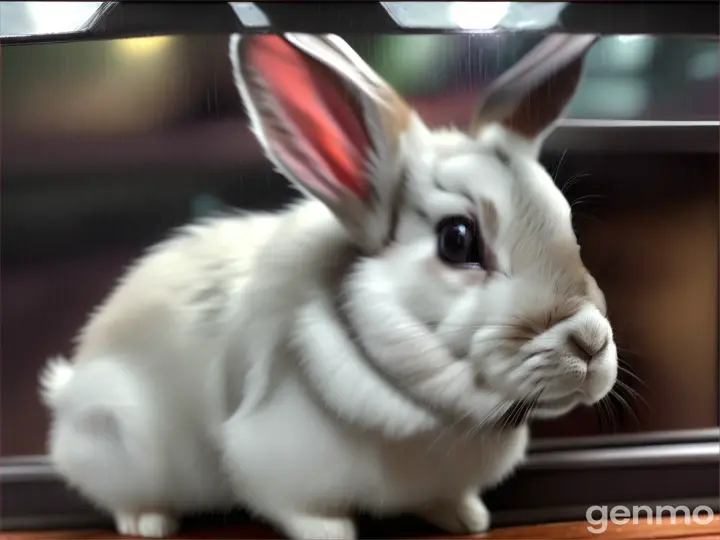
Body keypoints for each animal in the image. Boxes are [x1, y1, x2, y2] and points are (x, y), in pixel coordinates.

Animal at [39, 33, 616, 540]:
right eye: (457, 240)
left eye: (565, 219)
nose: (590, 342)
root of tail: (67, 393)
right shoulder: (269, 460)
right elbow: (293, 507)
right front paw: (330, 532)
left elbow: (446, 498)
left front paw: (469, 518)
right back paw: (148, 522)